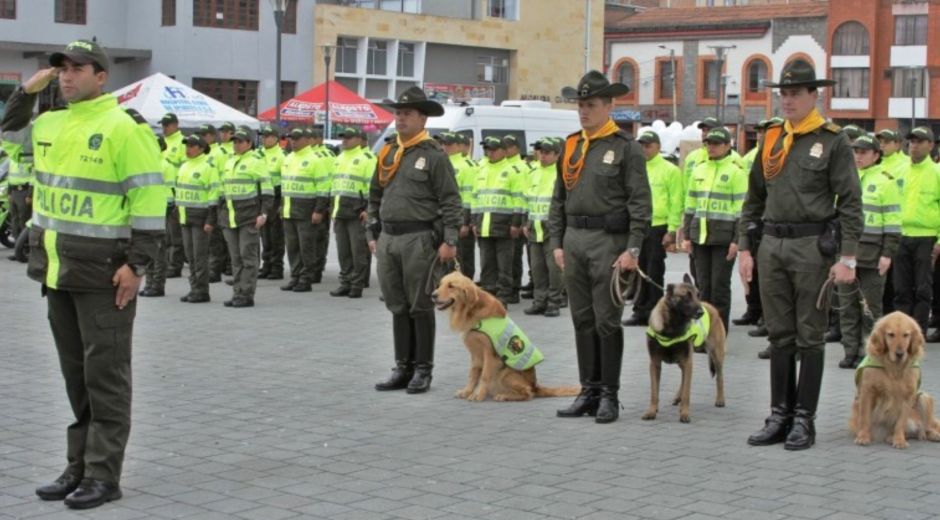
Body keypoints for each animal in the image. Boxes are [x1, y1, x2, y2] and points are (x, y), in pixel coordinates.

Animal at [434, 272, 580, 402]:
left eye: (451, 286)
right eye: (440, 284)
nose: (433, 295)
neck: (472, 313)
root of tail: (535, 385)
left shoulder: (489, 354)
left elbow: (484, 376)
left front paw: (477, 395)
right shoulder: (475, 353)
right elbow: (473, 375)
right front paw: (466, 391)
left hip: (506, 374)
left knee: (528, 393)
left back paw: (505, 396)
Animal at [640, 272, 728, 422]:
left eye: (698, 295)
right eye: (686, 297)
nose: (701, 312)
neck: (672, 327)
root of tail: (711, 306)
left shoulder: (687, 361)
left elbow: (687, 391)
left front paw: (685, 413)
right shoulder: (655, 364)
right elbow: (654, 392)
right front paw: (652, 411)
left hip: (715, 355)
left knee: (719, 377)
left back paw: (720, 399)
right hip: (684, 361)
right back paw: (677, 397)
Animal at [848, 310, 936, 448]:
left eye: (906, 335)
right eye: (891, 335)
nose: (899, 354)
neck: (894, 368)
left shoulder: (908, 395)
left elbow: (900, 422)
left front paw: (899, 440)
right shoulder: (868, 391)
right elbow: (865, 418)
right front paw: (863, 437)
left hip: (923, 397)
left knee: (927, 427)